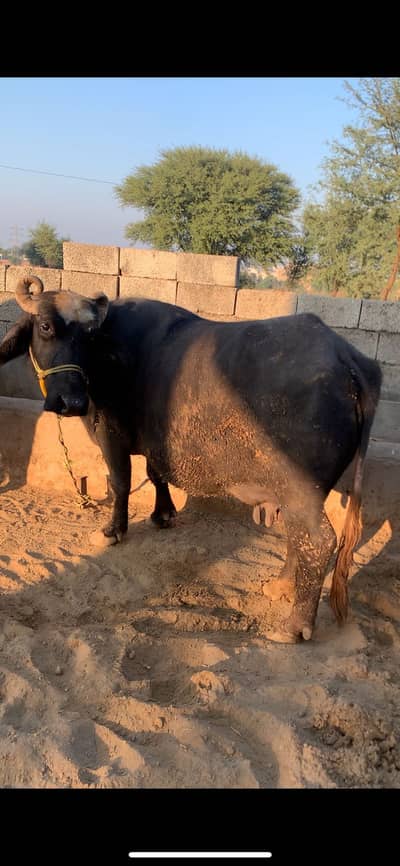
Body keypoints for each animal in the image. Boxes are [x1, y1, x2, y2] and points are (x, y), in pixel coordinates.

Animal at [0, 275, 382, 643]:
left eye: (90, 337)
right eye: (45, 326)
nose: (72, 402)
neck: (108, 361)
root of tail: (349, 360)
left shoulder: (111, 435)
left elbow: (120, 482)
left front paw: (113, 531)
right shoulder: (155, 442)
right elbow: (156, 474)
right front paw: (163, 514)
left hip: (301, 487)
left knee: (318, 540)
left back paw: (294, 625)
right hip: (297, 491)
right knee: (298, 536)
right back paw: (281, 584)